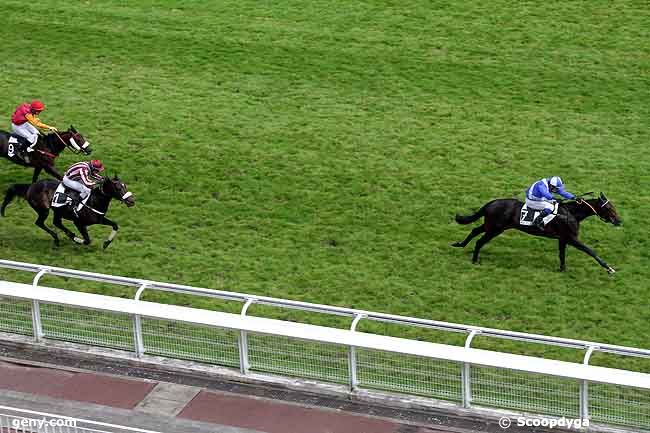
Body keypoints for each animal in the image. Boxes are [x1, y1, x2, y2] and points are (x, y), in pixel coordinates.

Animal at [1, 176, 135, 248]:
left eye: (125, 186)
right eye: (118, 188)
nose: (132, 201)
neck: (93, 200)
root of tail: (31, 186)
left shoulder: (99, 219)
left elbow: (115, 225)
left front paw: (107, 243)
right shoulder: (79, 222)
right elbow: (87, 240)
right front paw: (77, 240)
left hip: (57, 211)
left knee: (56, 222)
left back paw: (67, 235)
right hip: (43, 210)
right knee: (40, 223)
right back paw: (59, 238)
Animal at [454, 193, 620, 274]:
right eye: (609, 208)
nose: (619, 221)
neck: (571, 213)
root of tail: (490, 203)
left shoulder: (563, 238)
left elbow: (561, 254)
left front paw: (562, 269)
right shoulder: (572, 238)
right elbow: (590, 251)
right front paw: (609, 268)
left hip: (491, 226)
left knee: (474, 231)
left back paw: (460, 244)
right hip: (495, 228)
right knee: (479, 241)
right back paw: (474, 260)